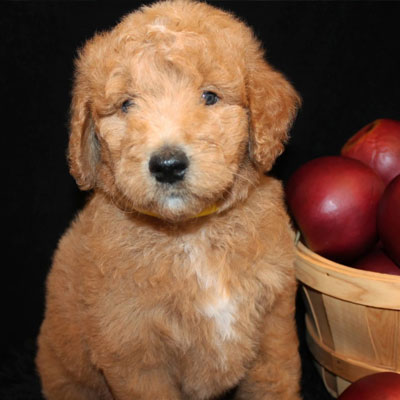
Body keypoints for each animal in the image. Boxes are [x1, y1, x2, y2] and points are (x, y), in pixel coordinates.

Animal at [36, 0, 302, 400]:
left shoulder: (274, 326)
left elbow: (275, 382)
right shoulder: (136, 355)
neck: (192, 234)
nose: (167, 165)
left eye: (209, 97)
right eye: (127, 104)